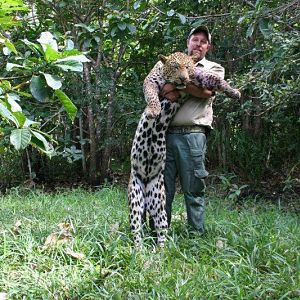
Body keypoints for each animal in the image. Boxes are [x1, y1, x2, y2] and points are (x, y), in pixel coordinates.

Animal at [127, 51, 240, 247]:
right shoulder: (150, 81)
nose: (183, 78)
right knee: (136, 231)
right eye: (175, 67)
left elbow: (216, 79)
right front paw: (153, 110)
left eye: (187, 67)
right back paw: (138, 250)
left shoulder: (199, 77)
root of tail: (147, 179)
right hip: (135, 200)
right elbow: (151, 95)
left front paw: (234, 91)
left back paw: (160, 251)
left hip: (159, 203)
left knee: (161, 229)